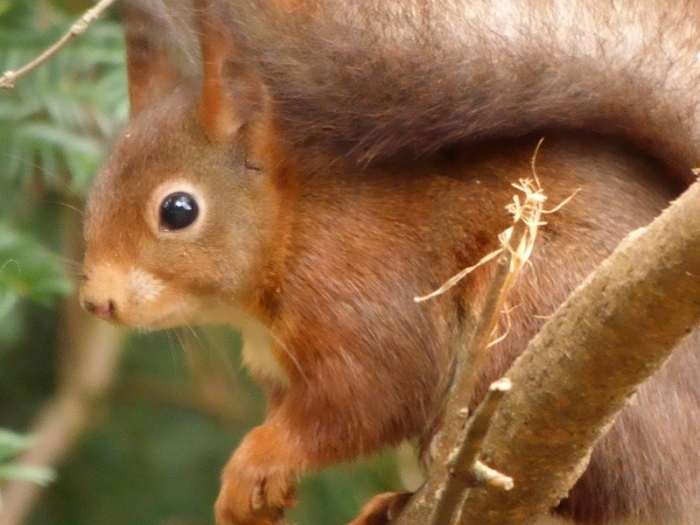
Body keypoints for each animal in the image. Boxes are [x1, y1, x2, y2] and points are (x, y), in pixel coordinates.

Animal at [79, 0, 700, 524]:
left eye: (178, 210)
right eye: (94, 193)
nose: (96, 302)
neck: (294, 225)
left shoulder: (361, 291)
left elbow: (369, 398)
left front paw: (255, 461)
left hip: (533, 313)